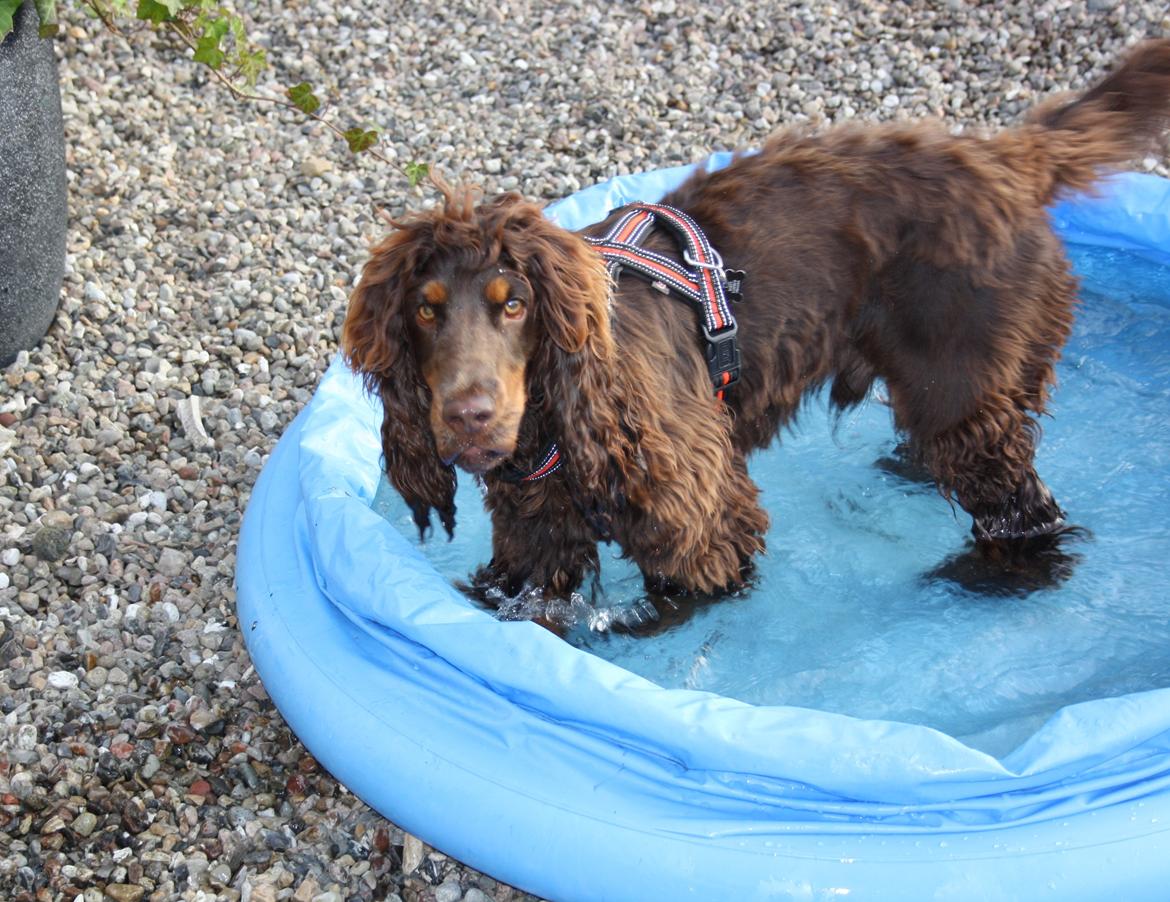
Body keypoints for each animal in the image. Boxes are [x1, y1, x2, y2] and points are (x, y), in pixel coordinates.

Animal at [341, 44, 1165, 608]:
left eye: (514, 304)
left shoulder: (705, 530)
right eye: (425, 309)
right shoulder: (536, 541)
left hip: (964, 382)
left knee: (1019, 505)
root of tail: (1006, 154)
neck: (564, 415)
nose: (468, 416)